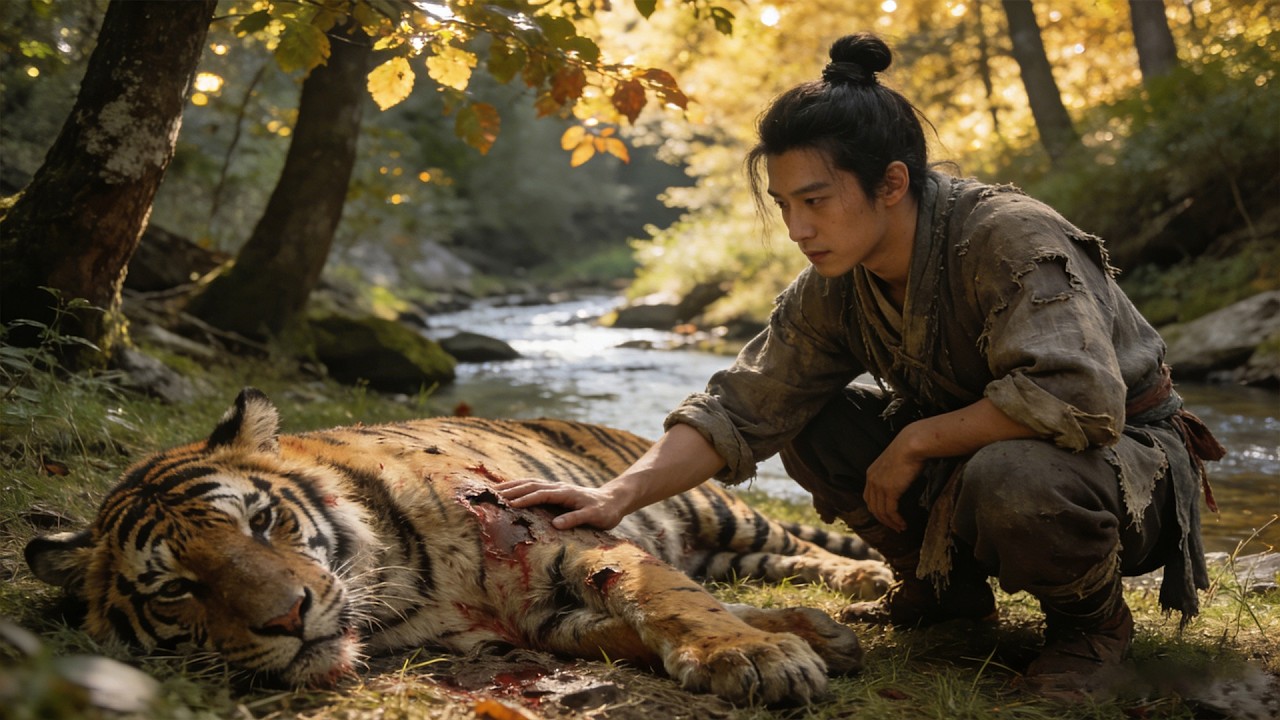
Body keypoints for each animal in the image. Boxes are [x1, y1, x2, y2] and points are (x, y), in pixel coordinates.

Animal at [25, 387, 892, 706]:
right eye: (177, 588)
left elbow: (664, 597)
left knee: (797, 544)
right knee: (765, 566)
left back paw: (870, 584)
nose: (288, 618)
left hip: (712, 507)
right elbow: (636, 625)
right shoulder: (532, 619)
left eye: (260, 523)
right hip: (723, 548)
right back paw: (830, 621)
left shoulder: (558, 534)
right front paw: (789, 639)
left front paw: (755, 659)